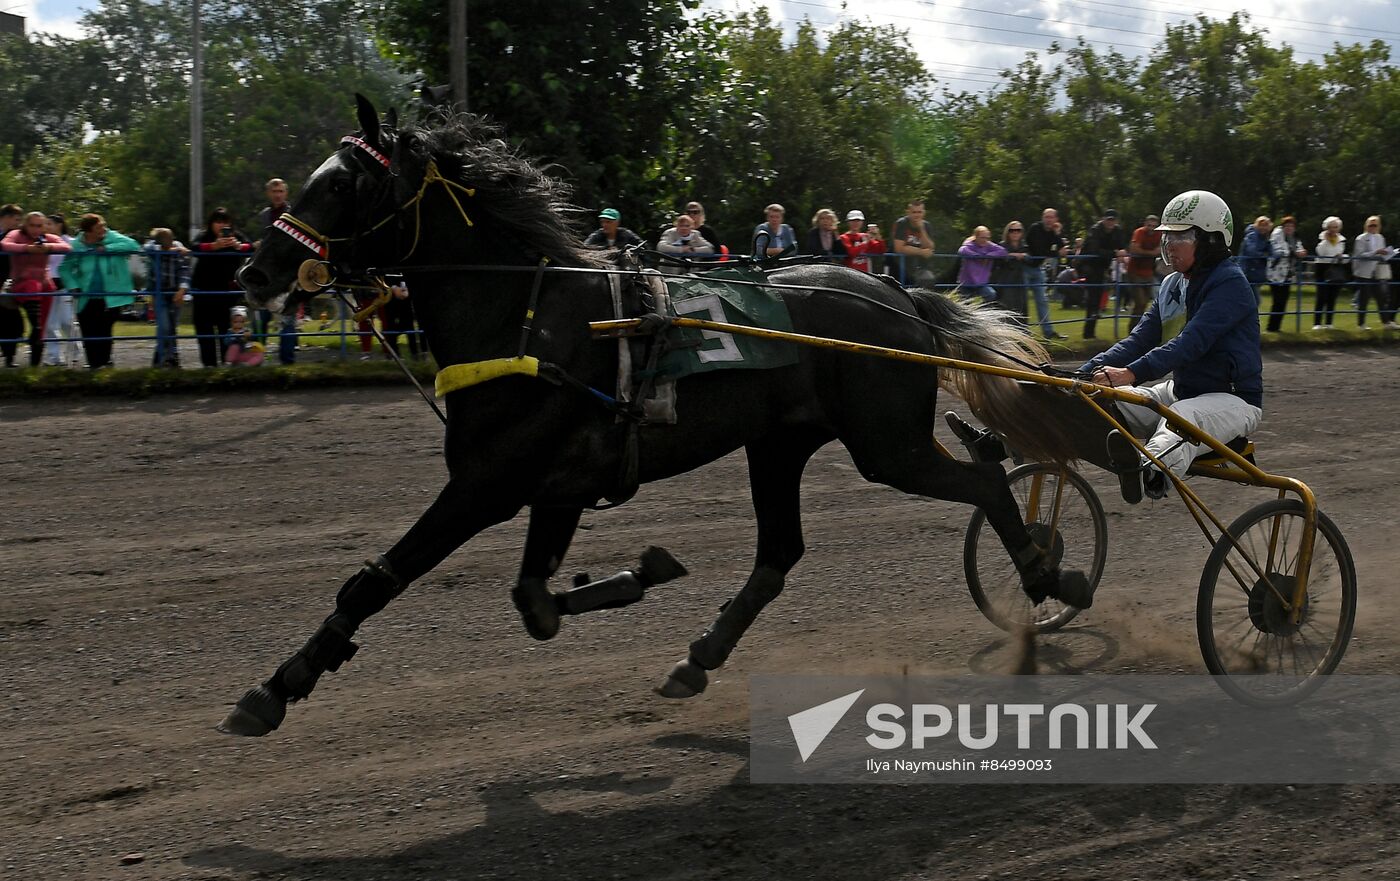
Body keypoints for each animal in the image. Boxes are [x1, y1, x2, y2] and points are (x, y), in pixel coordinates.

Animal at [221, 94, 1092, 733]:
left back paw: (1050, 569)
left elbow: (373, 580)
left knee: (986, 482)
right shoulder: (557, 486)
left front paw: (276, 685)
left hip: (886, 444)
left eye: (342, 185)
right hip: (779, 444)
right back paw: (698, 656)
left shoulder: (486, 484)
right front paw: (642, 571)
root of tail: (893, 292)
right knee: (781, 551)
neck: (531, 315)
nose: (254, 269)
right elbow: (534, 602)